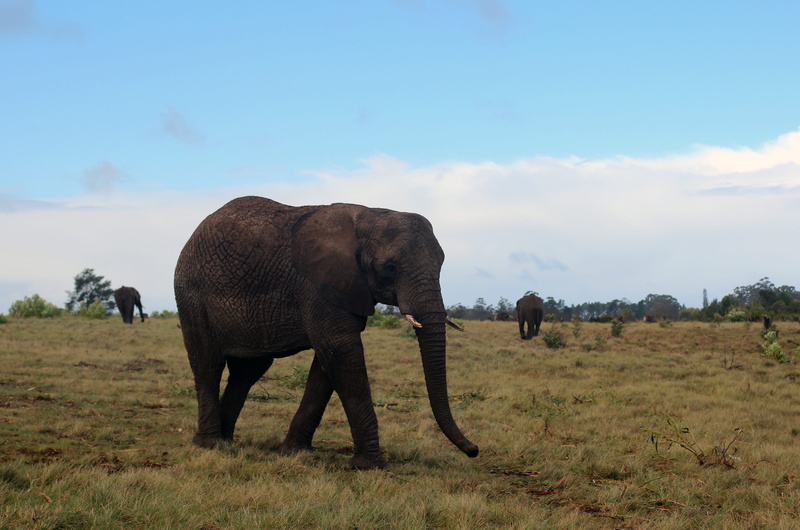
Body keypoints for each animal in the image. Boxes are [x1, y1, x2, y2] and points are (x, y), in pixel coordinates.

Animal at [173, 196, 478, 470]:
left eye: (441, 264)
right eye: (389, 268)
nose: (474, 450)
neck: (369, 214)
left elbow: (326, 364)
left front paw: (295, 453)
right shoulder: (317, 285)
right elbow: (342, 352)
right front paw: (372, 466)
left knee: (248, 371)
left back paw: (227, 442)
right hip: (191, 294)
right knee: (208, 363)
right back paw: (210, 444)